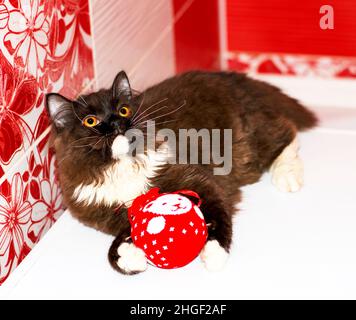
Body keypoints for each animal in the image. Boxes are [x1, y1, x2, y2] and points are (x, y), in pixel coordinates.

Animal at [46, 70, 318, 276]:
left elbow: (218, 214)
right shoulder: (113, 212)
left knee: (285, 132)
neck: (121, 166)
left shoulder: (198, 180)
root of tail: (230, 76)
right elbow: (124, 237)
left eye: (123, 111)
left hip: (248, 141)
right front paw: (128, 257)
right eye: (90, 121)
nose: (116, 124)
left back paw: (287, 175)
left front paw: (215, 253)